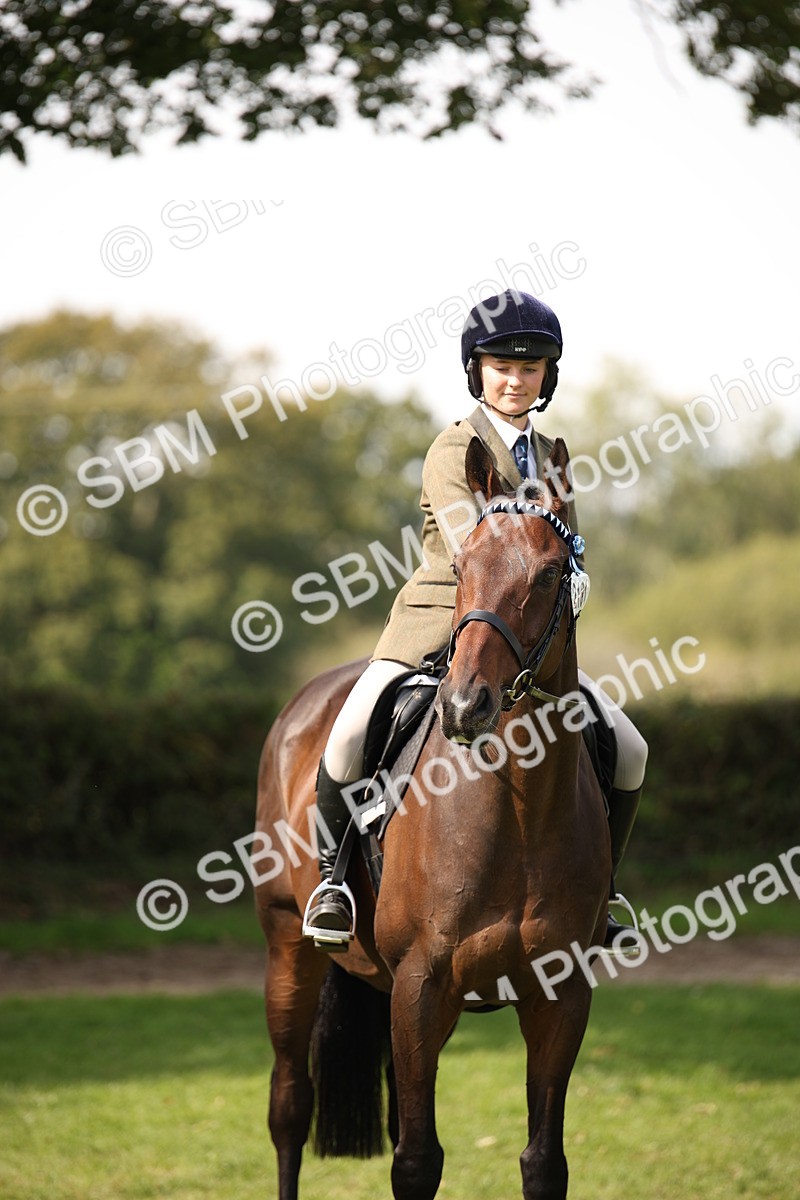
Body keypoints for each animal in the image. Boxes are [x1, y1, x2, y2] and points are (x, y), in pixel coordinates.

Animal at [255, 436, 611, 1200]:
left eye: (549, 575)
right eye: (461, 566)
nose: (464, 705)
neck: (518, 808)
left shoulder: (561, 996)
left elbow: (544, 1161)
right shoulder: (421, 989)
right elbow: (416, 1162)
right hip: (287, 946)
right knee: (289, 1107)